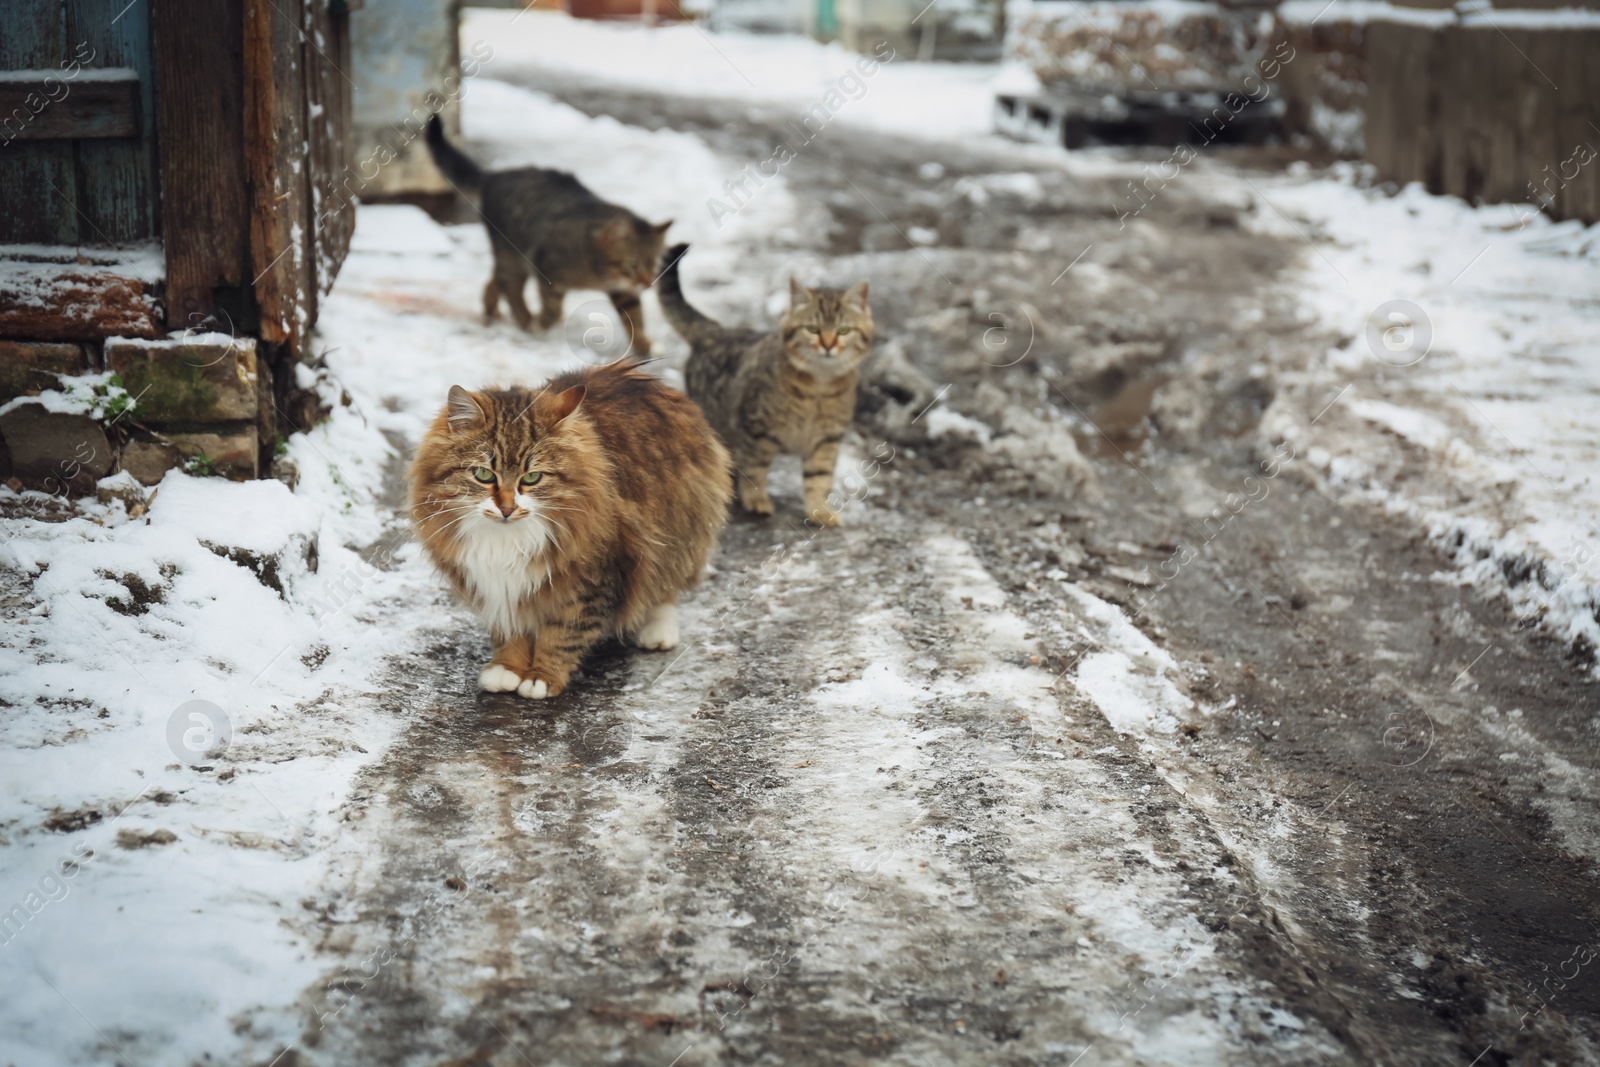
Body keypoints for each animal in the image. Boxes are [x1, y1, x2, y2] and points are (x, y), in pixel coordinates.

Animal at [412, 361, 736, 700]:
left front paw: (541, 677)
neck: (505, 541)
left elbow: (562, 635)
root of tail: (653, 383)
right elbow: (511, 632)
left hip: (675, 532)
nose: (507, 508)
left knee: (665, 589)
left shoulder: (592, 578)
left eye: (533, 478)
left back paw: (657, 632)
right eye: (483, 474)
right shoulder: (499, 586)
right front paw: (507, 669)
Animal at [425, 113, 668, 355]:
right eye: (633, 265)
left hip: (513, 256)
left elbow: (634, 317)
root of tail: (495, 175)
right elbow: (552, 309)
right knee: (510, 286)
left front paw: (644, 345)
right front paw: (540, 323)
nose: (648, 284)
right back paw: (525, 319)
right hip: (513, 255)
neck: (597, 273)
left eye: (653, 264)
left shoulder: (623, 290)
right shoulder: (546, 270)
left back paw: (492, 309)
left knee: (497, 279)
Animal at [652, 243, 870, 524]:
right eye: (812, 329)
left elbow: (819, 479)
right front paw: (756, 500)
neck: (818, 390)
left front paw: (820, 511)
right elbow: (755, 470)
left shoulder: (826, 440)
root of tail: (717, 330)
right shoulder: (756, 431)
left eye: (844, 331)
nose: (828, 345)